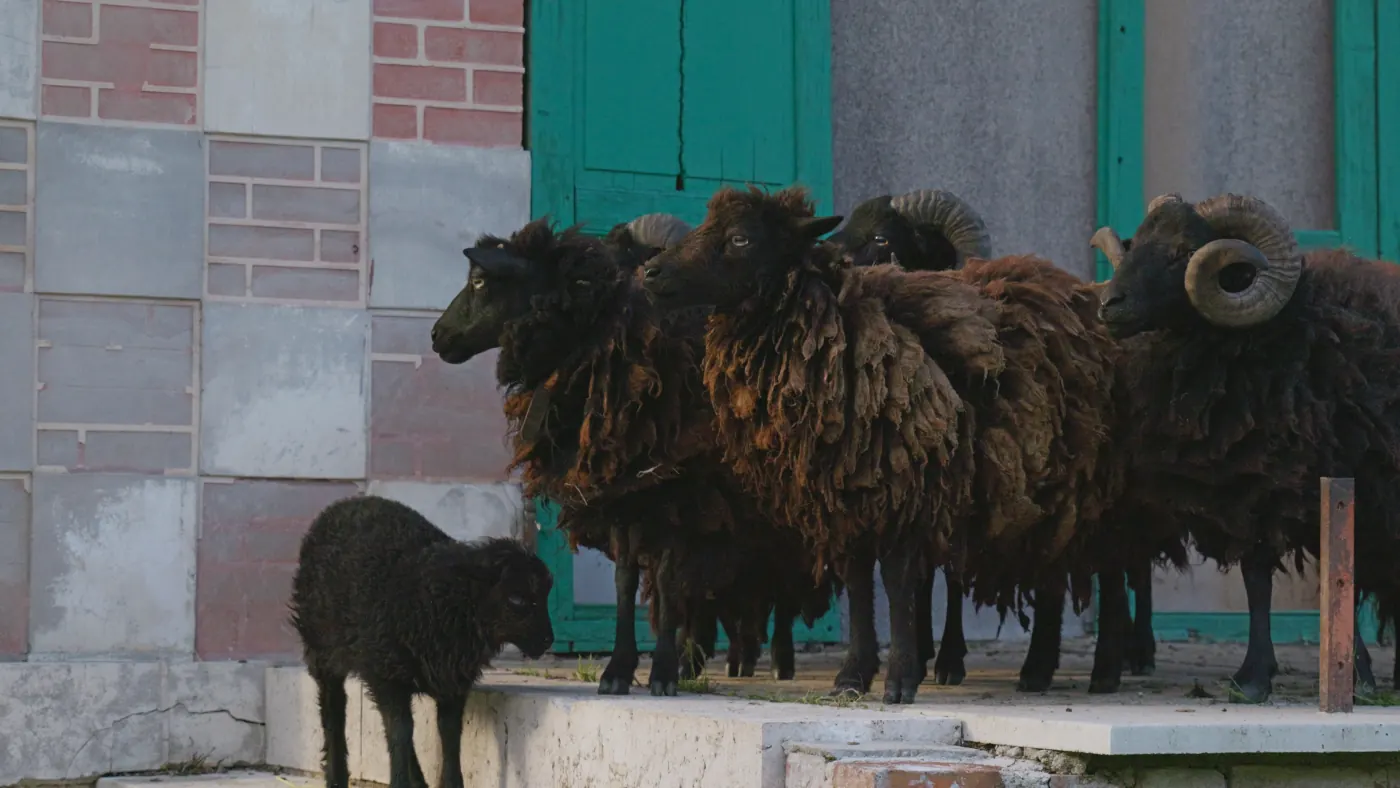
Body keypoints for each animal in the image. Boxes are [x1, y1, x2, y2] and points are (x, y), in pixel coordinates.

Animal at [288, 494, 553, 788]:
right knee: (335, 708)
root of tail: (343, 503)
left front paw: (451, 783)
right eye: (517, 599)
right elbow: (401, 732)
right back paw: (337, 776)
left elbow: (448, 733)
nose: (547, 640)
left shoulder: (452, 682)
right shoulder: (387, 676)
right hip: (322, 647)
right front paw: (399, 781)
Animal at [429, 213, 838, 696]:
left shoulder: (681, 498)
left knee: (777, 587)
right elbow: (626, 583)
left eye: (478, 281)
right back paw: (698, 658)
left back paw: (777, 659)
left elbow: (665, 579)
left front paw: (660, 673)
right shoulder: (623, 497)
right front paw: (619, 670)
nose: (436, 335)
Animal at [642, 185, 1129, 702]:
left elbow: (897, 583)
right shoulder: (843, 494)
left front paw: (899, 678)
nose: (650, 273)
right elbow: (859, 584)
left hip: (1082, 485)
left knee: (1078, 571)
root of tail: (1071, 288)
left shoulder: (909, 487)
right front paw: (853, 676)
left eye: (740, 238)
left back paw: (1068, 668)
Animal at [1089, 191, 1400, 703]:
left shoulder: (1346, 487)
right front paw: (1253, 676)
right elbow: (1256, 579)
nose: (1110, 305)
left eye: (1181, 252)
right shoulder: (1252, 487)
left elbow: (1342, 575)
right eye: (1137, 242)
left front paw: (1355, 674)